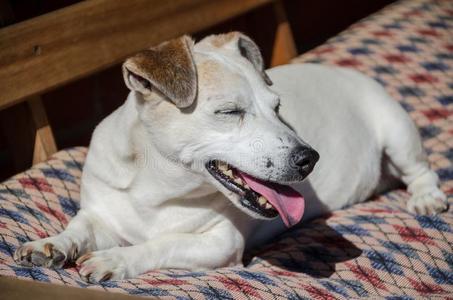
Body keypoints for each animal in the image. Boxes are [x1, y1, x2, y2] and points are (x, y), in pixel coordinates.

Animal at [13, 32, 444, 282]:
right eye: (229, 112)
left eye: (278, 107)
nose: (309, 158)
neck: (155, 188)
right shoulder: (101, 214)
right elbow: (79, 228)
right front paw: (51, 244)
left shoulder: (219, 243)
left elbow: (163, 244)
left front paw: (117, 259)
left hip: (397, 132)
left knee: (421, 170)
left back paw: (427, 198)